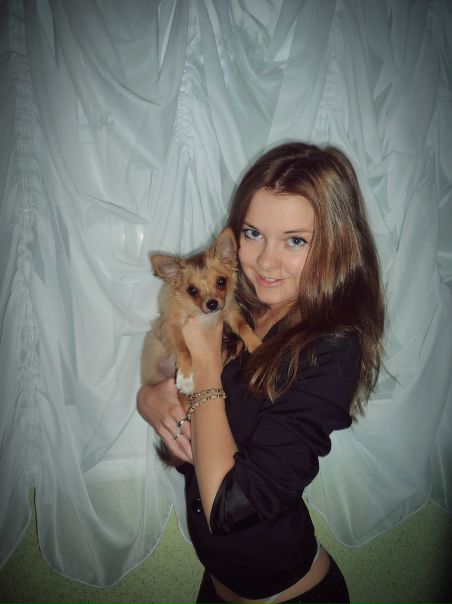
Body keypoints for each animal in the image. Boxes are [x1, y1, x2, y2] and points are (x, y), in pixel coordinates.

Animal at [141, 227, 261, 465]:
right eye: (192, 290)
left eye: (221, 281)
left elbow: (243, 327)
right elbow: (185, 351)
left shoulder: (229, 312)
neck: (203, 316)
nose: (212, 304)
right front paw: (186, 378)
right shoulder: (173, 325)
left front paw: (255, 344)